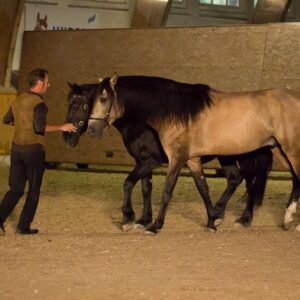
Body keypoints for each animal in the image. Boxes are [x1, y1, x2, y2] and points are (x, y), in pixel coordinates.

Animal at [86, 72, 300, 234]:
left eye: (103, 99)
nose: (91, 129)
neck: (176, 111)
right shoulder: (192, 160)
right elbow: (203, 189)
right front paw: (212, 221)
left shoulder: (176, 158)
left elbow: (167, 190)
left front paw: (153, 225)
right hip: (279, 150)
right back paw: (284, 219)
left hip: (285, 151)